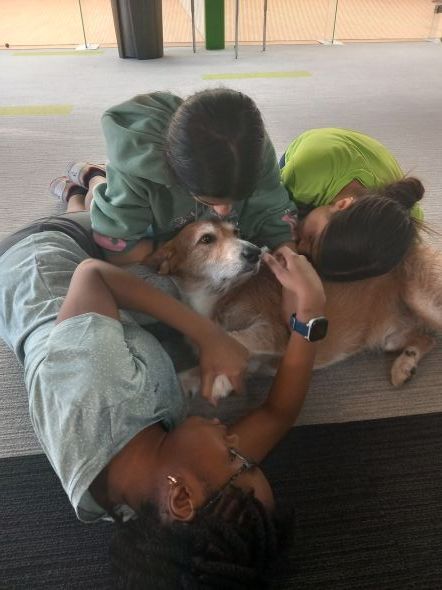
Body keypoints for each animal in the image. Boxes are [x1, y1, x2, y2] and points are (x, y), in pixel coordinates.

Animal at [148, 220, 441, 400]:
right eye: (206, 239)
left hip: (422, 300)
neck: (217, 296)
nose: (255, 252)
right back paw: (406, 364)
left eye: (236, 232)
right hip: (390, 337)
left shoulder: (274, 331)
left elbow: (231, 339)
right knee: (428, 338)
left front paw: (220, 378)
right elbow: (192, 372)